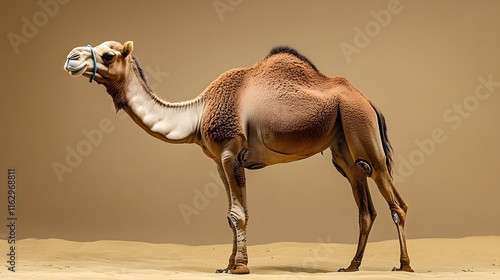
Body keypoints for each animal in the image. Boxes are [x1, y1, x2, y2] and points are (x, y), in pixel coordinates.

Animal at [63, 40, 414, 272]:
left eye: (108, 54)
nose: (71, 57)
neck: (198, 112)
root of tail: (368, 101)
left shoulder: (233, 153)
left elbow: (239, 214)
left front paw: (240, 267)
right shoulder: (220, 161)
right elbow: (231, 214)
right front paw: (227, 265)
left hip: (362, 129)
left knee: (396, 202)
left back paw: (404, 266)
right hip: (344, 151)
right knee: (365, 208)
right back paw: (351, 266)